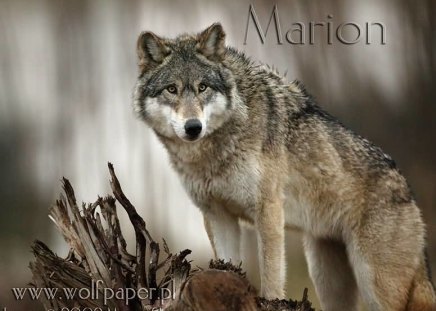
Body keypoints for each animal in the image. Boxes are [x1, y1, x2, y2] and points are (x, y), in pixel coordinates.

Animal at [133, 22, 436, 311]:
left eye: (202, 87)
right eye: (172, 89)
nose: (193, 127)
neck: (213, 153)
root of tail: (406, 187)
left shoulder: (268, 209)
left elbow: (271, 273)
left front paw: (271, 299)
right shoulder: (218, 215)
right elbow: (226, 263)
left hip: (375, 285)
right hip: (326, 278)